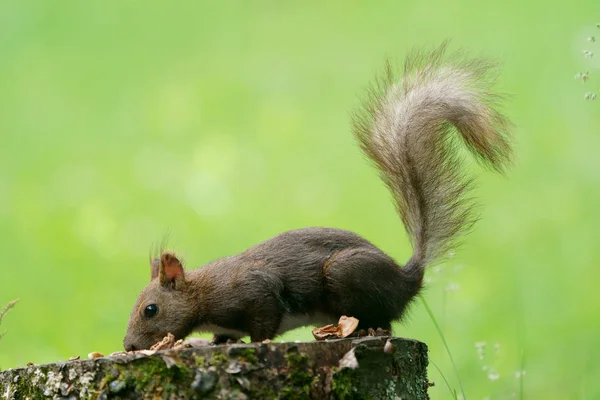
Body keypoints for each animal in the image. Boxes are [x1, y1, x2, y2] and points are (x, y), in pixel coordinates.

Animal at [124, 43, 512, 350]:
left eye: (150, 309)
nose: (128, 346)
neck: (202, 291)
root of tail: (407, 279)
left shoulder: (255, 290)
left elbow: (264, 322)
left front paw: (255, 342)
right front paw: (217, 341)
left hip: (346, 274)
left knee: (383, 320)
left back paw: (361, 330)